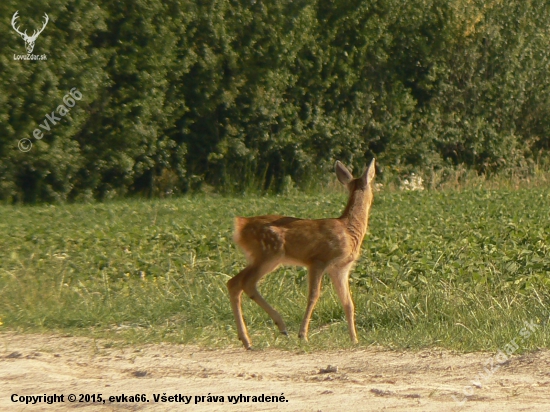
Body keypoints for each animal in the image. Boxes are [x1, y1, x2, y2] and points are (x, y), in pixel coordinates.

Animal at [226, 159, 378, 350]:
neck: (349, 230)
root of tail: (240, 227)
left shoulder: (340, 268)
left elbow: (348, 303)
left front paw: (354, 339)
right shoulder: (318, 260)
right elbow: (313, 296)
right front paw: (303, 335)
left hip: (258, 257)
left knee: (233, 283)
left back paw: (247, 340)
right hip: (270, 254)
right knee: (247, 283)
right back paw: (280, 327)